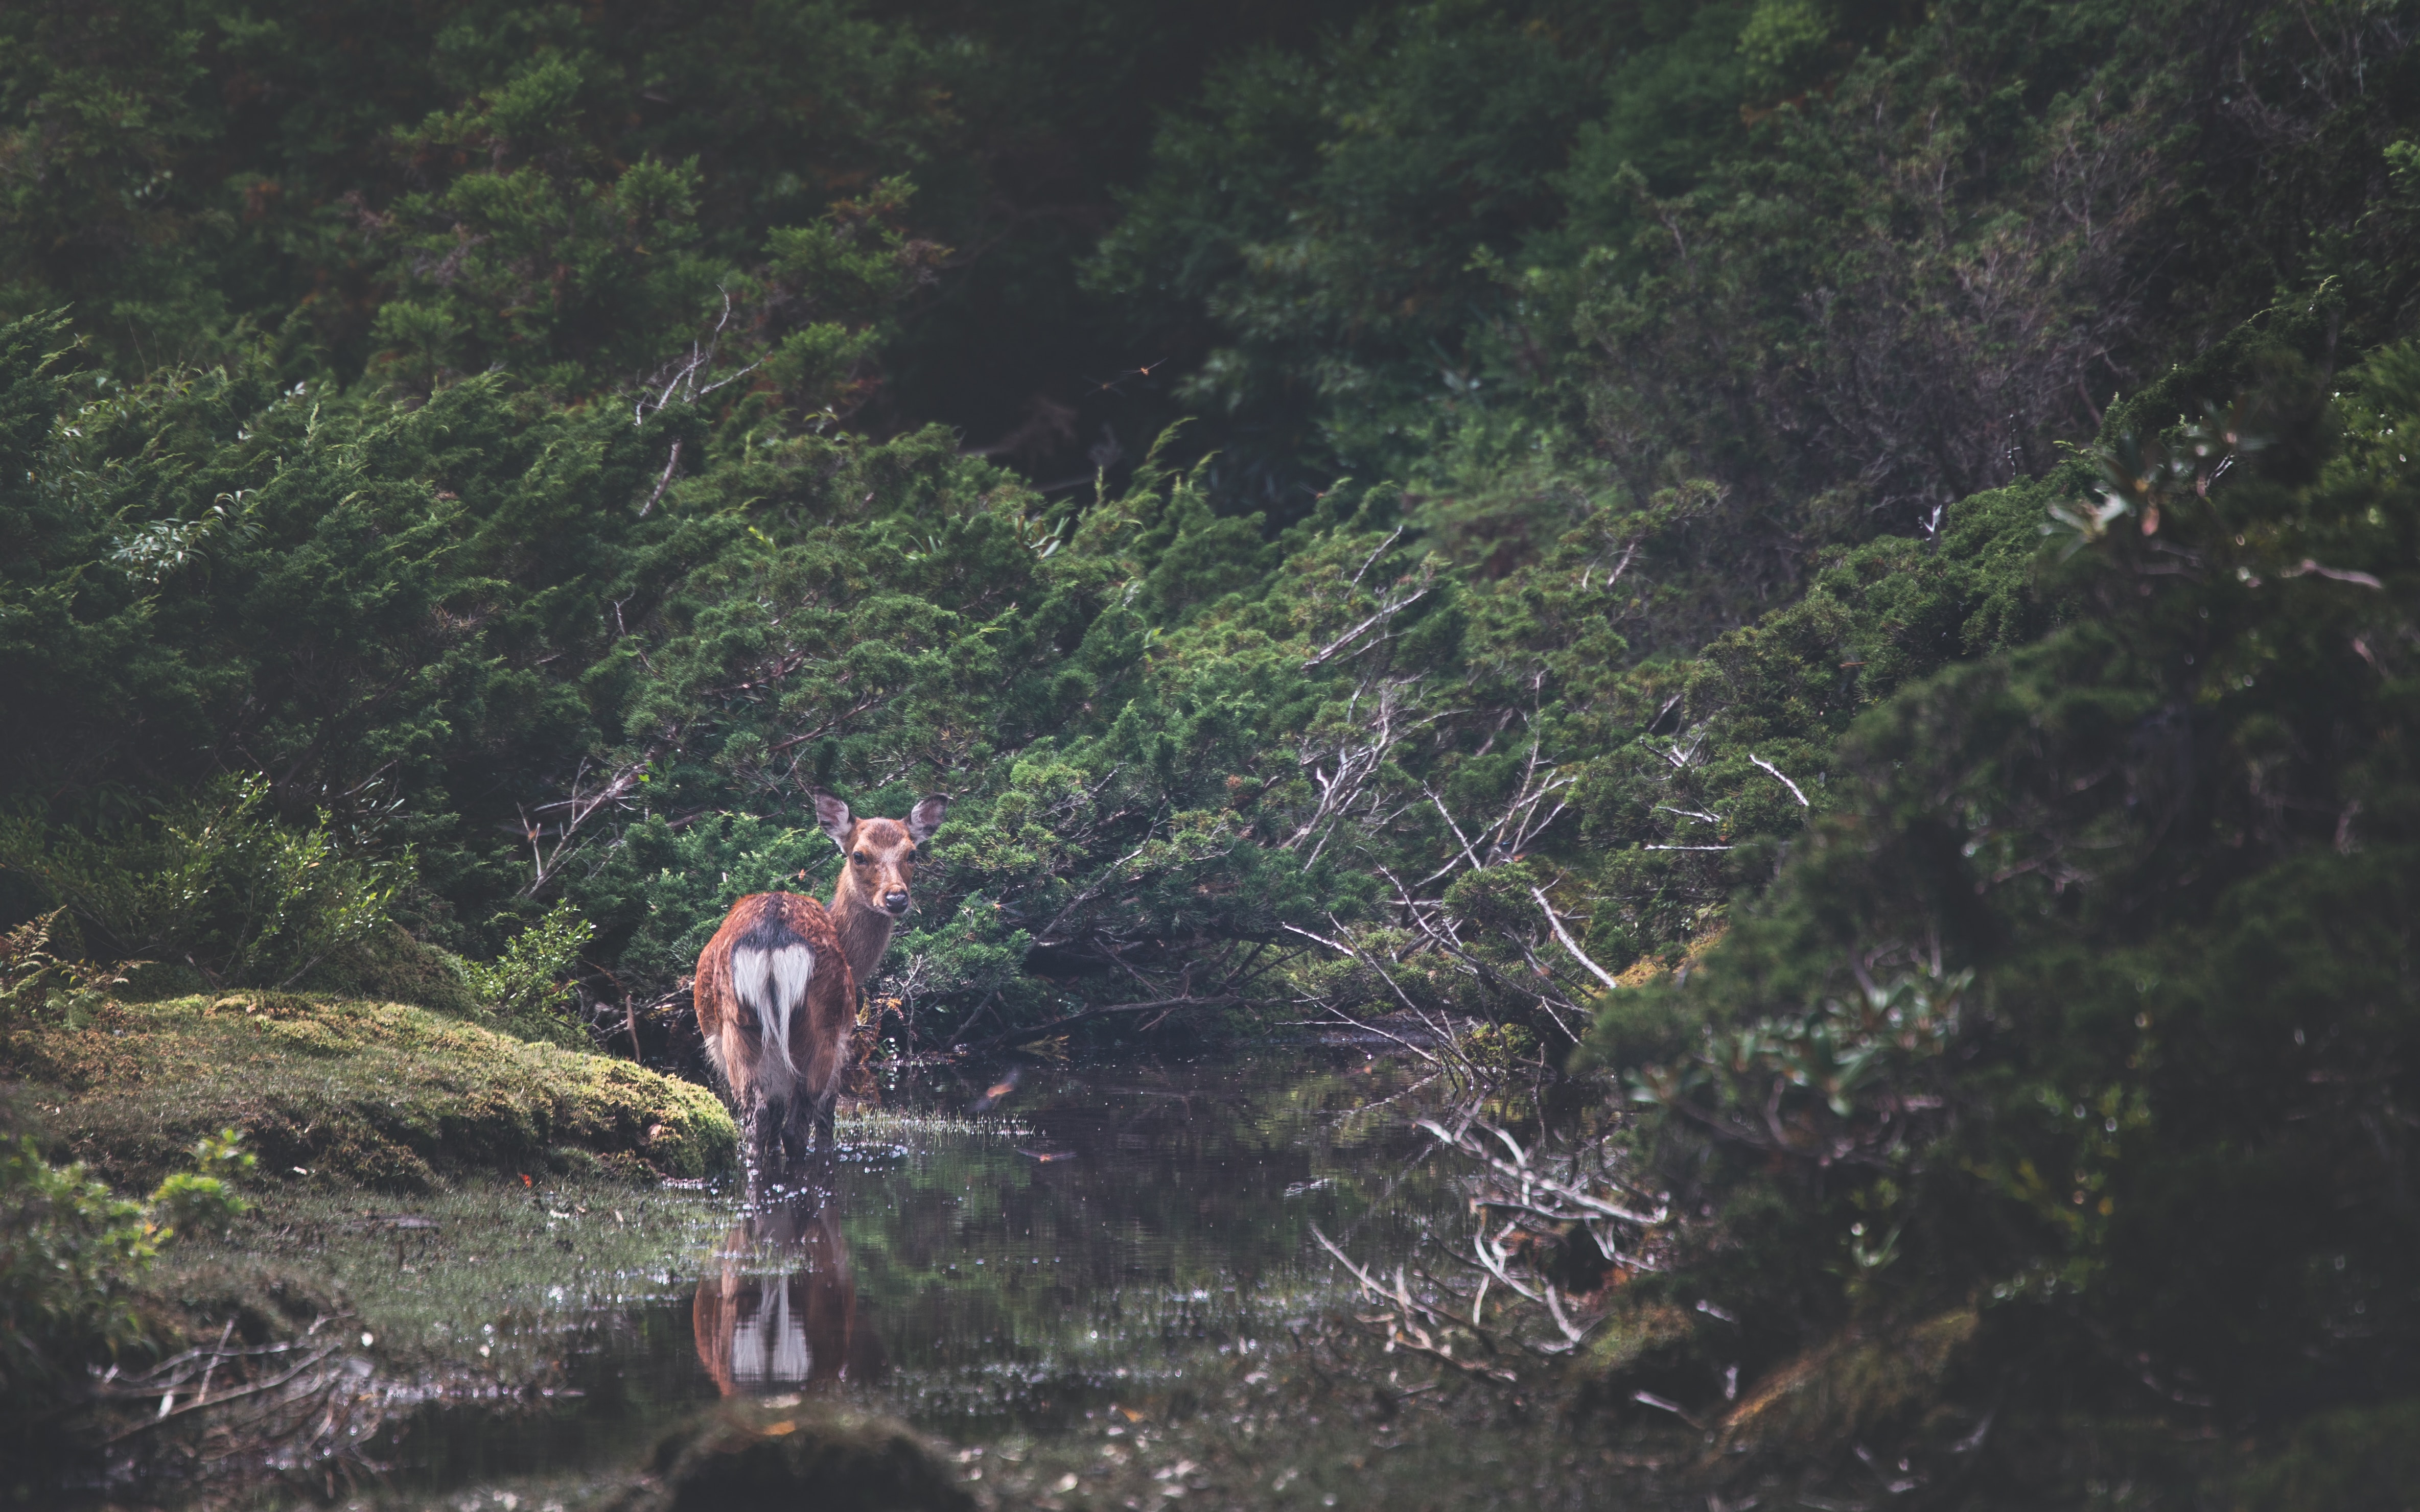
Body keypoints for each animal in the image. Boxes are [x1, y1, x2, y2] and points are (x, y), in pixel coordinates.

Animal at [692, 784, 944, 1185]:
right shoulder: (843, 1036)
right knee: (799, 1127)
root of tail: (772, 938)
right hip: (821, 1027)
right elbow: (825, 1123)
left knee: (757, 1123)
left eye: (912, 854)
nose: (896, 898)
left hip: (736, 1030)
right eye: (859, 855)